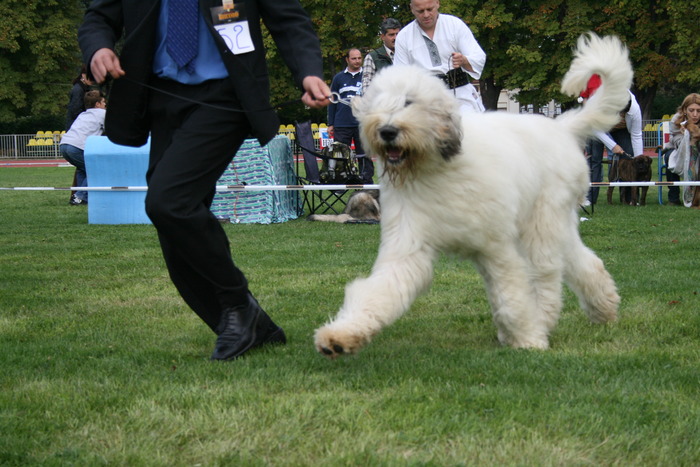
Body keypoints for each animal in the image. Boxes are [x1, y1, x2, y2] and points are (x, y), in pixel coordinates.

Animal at [314, 33, 628, 358]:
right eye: (376, 103)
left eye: (408, 101)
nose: (387, 131)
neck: (436, 168)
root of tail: (561, 127)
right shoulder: (408, 243)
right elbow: (380, 288)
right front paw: (340, 335)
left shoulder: (498, 248)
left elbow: (513, 296)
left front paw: (528, 338)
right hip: (555, 224)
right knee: (584, 262)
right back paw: (604, 309)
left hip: (541, 223)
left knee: (545, 276)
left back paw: (543, 320)